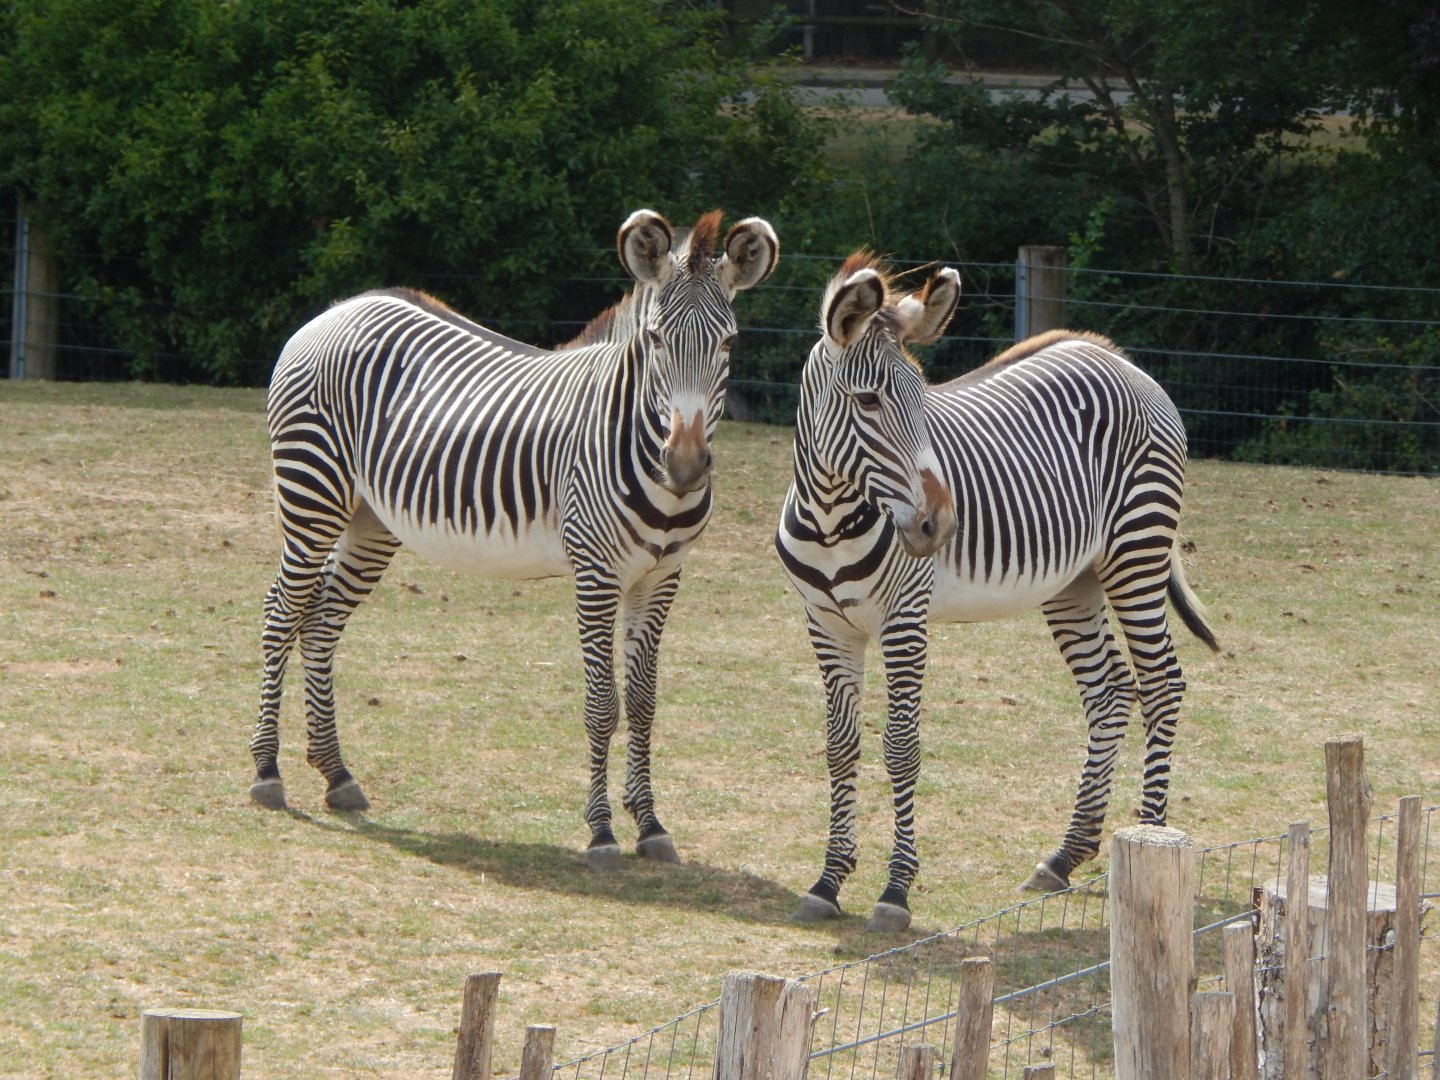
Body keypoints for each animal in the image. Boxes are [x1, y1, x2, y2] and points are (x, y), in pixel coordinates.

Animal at [249, 209, 779, 871]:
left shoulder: (661, 577)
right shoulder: (597, 572)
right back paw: (267, 772)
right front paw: (602, 833)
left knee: (320, 622)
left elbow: (643, 701)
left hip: (372, 521)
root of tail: (338, 309)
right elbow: (603, 703)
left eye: (729, 344)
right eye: (657, 340)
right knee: (281, 612)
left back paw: (336, 774)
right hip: (311, 494)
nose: (683, 466)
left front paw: (651, 825)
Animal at [776, 253, 1220, 932]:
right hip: (1073, 581)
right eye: (869, 400)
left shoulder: (904, 619)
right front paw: (828, 881)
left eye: (923, 395)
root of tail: (1119, 359)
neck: (831, 517)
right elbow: (841, 746)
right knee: (1110, 691)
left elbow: (901, 746)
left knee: (1162, 683)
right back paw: (1065, 856)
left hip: (1136, 553)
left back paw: (1148, 834)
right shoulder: (826, 622)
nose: (940, 526)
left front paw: (895, 891)